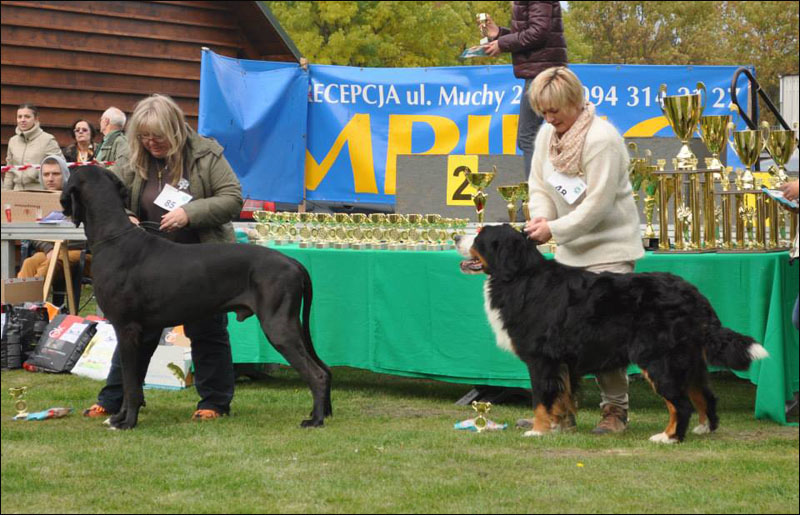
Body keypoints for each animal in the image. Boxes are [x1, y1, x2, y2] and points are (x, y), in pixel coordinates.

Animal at [61, 165, 332, 430]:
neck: (114, 239)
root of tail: (293, 262)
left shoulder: (127, 329)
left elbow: (129, 384)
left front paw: (127, 422)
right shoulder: (140, 333)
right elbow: (134, 382)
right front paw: (119, 418)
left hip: (278, 327)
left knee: (316, 374)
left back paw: (315, 420)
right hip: (293, 325)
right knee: (324, 369)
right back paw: (322, 412)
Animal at [456, 224, 768, 443]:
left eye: (480, 235)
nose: (458, 235)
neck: (520, 278)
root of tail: (693, 294)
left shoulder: (542, 359)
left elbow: (542, 399)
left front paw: (538, 430)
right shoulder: (563, 363)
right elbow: (562, 398)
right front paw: (559, 427)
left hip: (658, 358)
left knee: (681, 404)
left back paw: (668, 437)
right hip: (689, 360)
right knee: (704, 396)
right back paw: (704, 429)